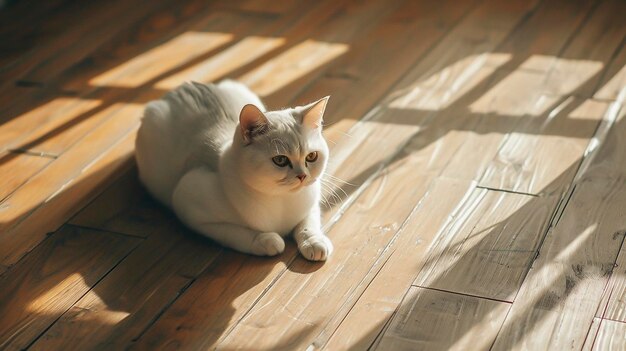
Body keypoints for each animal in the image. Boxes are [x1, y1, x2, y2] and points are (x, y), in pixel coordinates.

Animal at [135, 80, 334, 262]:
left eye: (311, 157)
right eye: (280, 160)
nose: (303, 176)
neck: (282, 200)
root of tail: (181, 87)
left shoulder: (312, 203)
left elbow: (308, 224)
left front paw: (315, 242)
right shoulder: (189, 206)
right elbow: (236, 233)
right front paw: (267, 240)